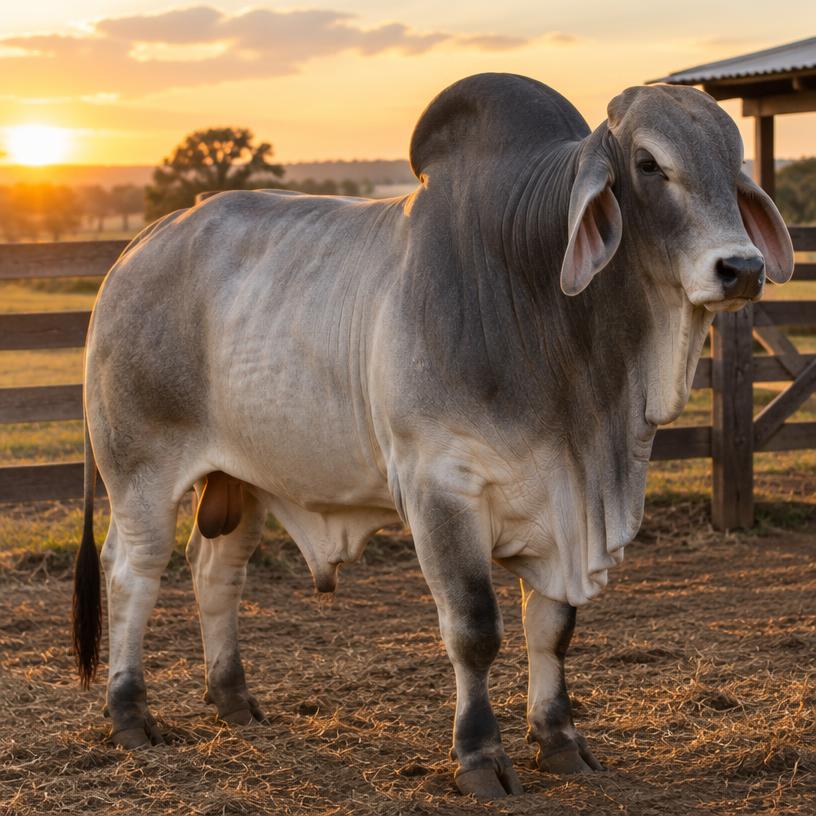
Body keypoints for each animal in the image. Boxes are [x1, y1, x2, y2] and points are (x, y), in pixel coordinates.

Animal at [73, 73, 793, 799]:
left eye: (733, 165)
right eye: (648, 164)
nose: (741, 268)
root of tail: (138, 248)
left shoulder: (568, 504)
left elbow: (553, 629)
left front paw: (559, 740)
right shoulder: (439, 485)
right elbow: (474, 628)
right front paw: (479, 757)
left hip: (241, 477)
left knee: (215, 572)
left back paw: (234, 701)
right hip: (139, 469)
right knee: (133, 570)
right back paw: (129, 714)